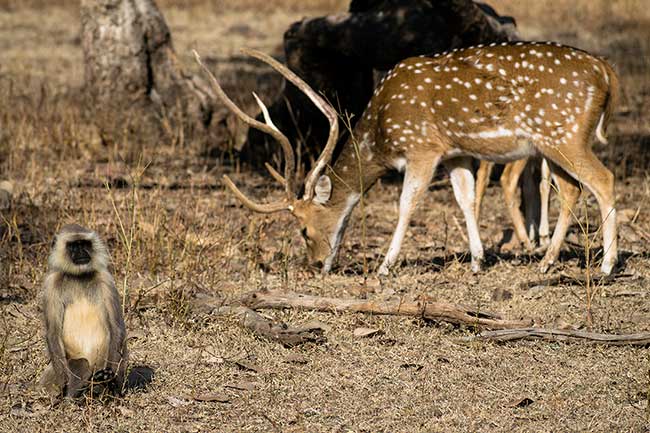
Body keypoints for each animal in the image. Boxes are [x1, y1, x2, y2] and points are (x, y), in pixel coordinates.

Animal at [40, 224, 128, 396]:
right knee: (81, 363)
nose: (81, 252)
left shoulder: (106, 280)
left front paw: (110, 379)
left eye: (85, 244)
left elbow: (117, 327)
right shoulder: (51, 284)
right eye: (74, 246)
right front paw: (64, 383)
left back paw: (107, 385)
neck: (78, 277)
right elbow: (53, 332)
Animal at [194, 39, 616, 274]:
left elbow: (406, 203)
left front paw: (385, 265)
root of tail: (606, 71)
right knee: (573, 189)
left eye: (302, 229)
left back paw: (608, 265)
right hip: (551, 144)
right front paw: (478, 260)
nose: (315, 264)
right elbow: (465, 199)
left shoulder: (422, 147)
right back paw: (546, 261)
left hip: (564, 135)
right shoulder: (454, 152)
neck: (381, 133)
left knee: (603, 180)